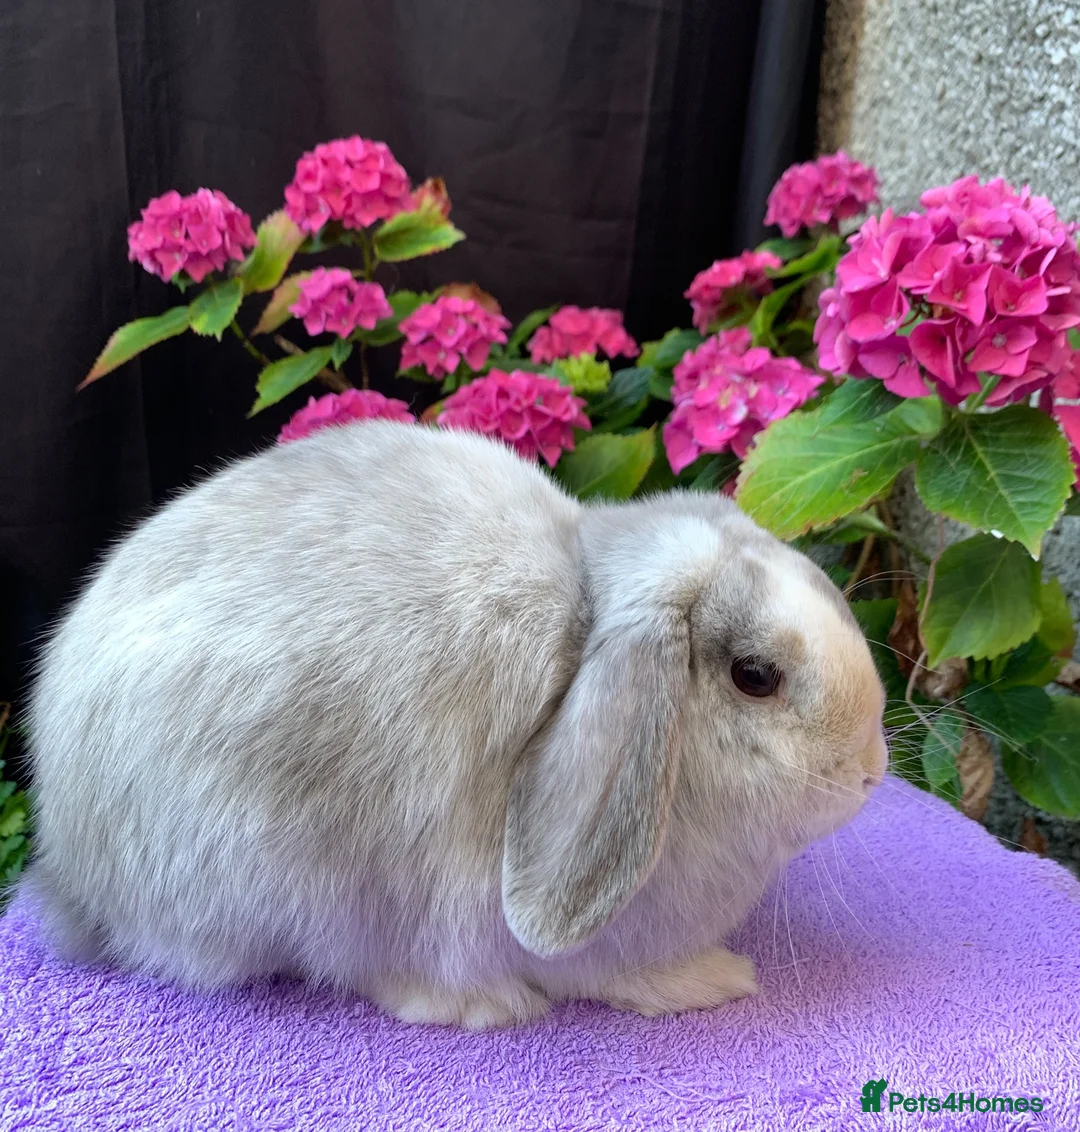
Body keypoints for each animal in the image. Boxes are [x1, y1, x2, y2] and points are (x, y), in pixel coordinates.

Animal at [24, 418, 887, 1030]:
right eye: (755, 677)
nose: (872, 772)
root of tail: (72, 873)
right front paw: (715, 979)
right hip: (286, 873)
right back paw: (478, 1003)